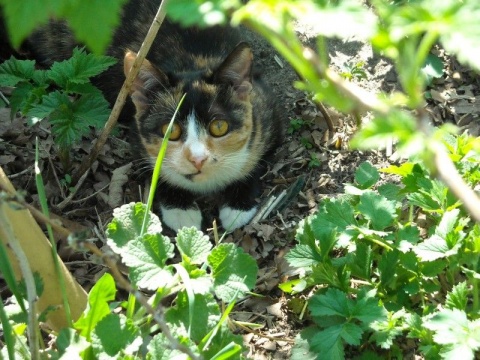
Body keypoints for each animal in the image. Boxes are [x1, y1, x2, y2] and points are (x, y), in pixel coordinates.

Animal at [1, 0, 284, 231]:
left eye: (219, 127)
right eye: (170, 131)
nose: (198, 159)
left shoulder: (268, 109)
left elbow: (259, 158)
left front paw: (238, 207)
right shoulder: (135, 133)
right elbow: (152, 164)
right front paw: (181, 209)